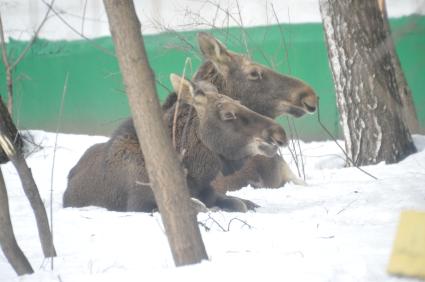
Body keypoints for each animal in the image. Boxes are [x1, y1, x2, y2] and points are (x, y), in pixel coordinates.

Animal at [63, 75, 286, 212]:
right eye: (228, 114)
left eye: (239, 103)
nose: (279, 133)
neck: (192, 172)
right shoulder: (141, 205)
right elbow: (201, 207)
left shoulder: (209, 192)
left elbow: (239, 203)